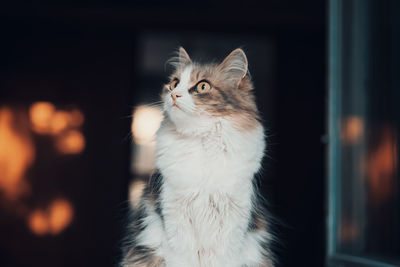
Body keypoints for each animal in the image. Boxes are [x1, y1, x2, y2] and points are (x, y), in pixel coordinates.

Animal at [121, 47, 276, 266]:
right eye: (174, 83)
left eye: (203, 86)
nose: (174, 94)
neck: (202, 140)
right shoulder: (175, 213)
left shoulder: (233, 218)